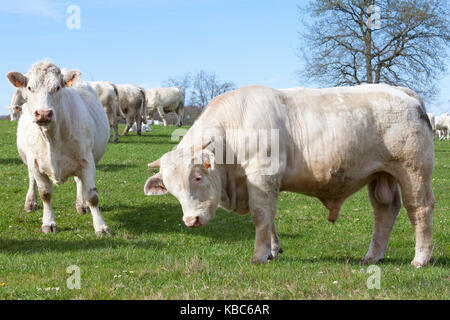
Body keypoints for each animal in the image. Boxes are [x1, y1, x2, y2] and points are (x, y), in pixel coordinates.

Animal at [6, 61, 111, 238]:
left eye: (57, 87)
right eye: (29, 87)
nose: (43, 113)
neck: (51, 139)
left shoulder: (87, 160)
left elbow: (92, 195)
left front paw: (101, 226)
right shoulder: (34, 162)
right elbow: (45, 193)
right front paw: (49, 223)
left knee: (79, 182)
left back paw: (81, 204)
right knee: (31, 180)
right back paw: (30, 202)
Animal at [144, 84, 436, 266]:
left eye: (197, 177)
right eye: (171, 189)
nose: (190, 220)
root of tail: (401, 91)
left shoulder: (262, 174)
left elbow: (261, 215)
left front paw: (258, 255)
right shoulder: (262, 184)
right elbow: (270, 218)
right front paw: (273, 250)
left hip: (413, 170)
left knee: (419, 209)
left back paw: (420, 259)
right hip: (381, 175)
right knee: (385, 210)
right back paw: (374, 256)